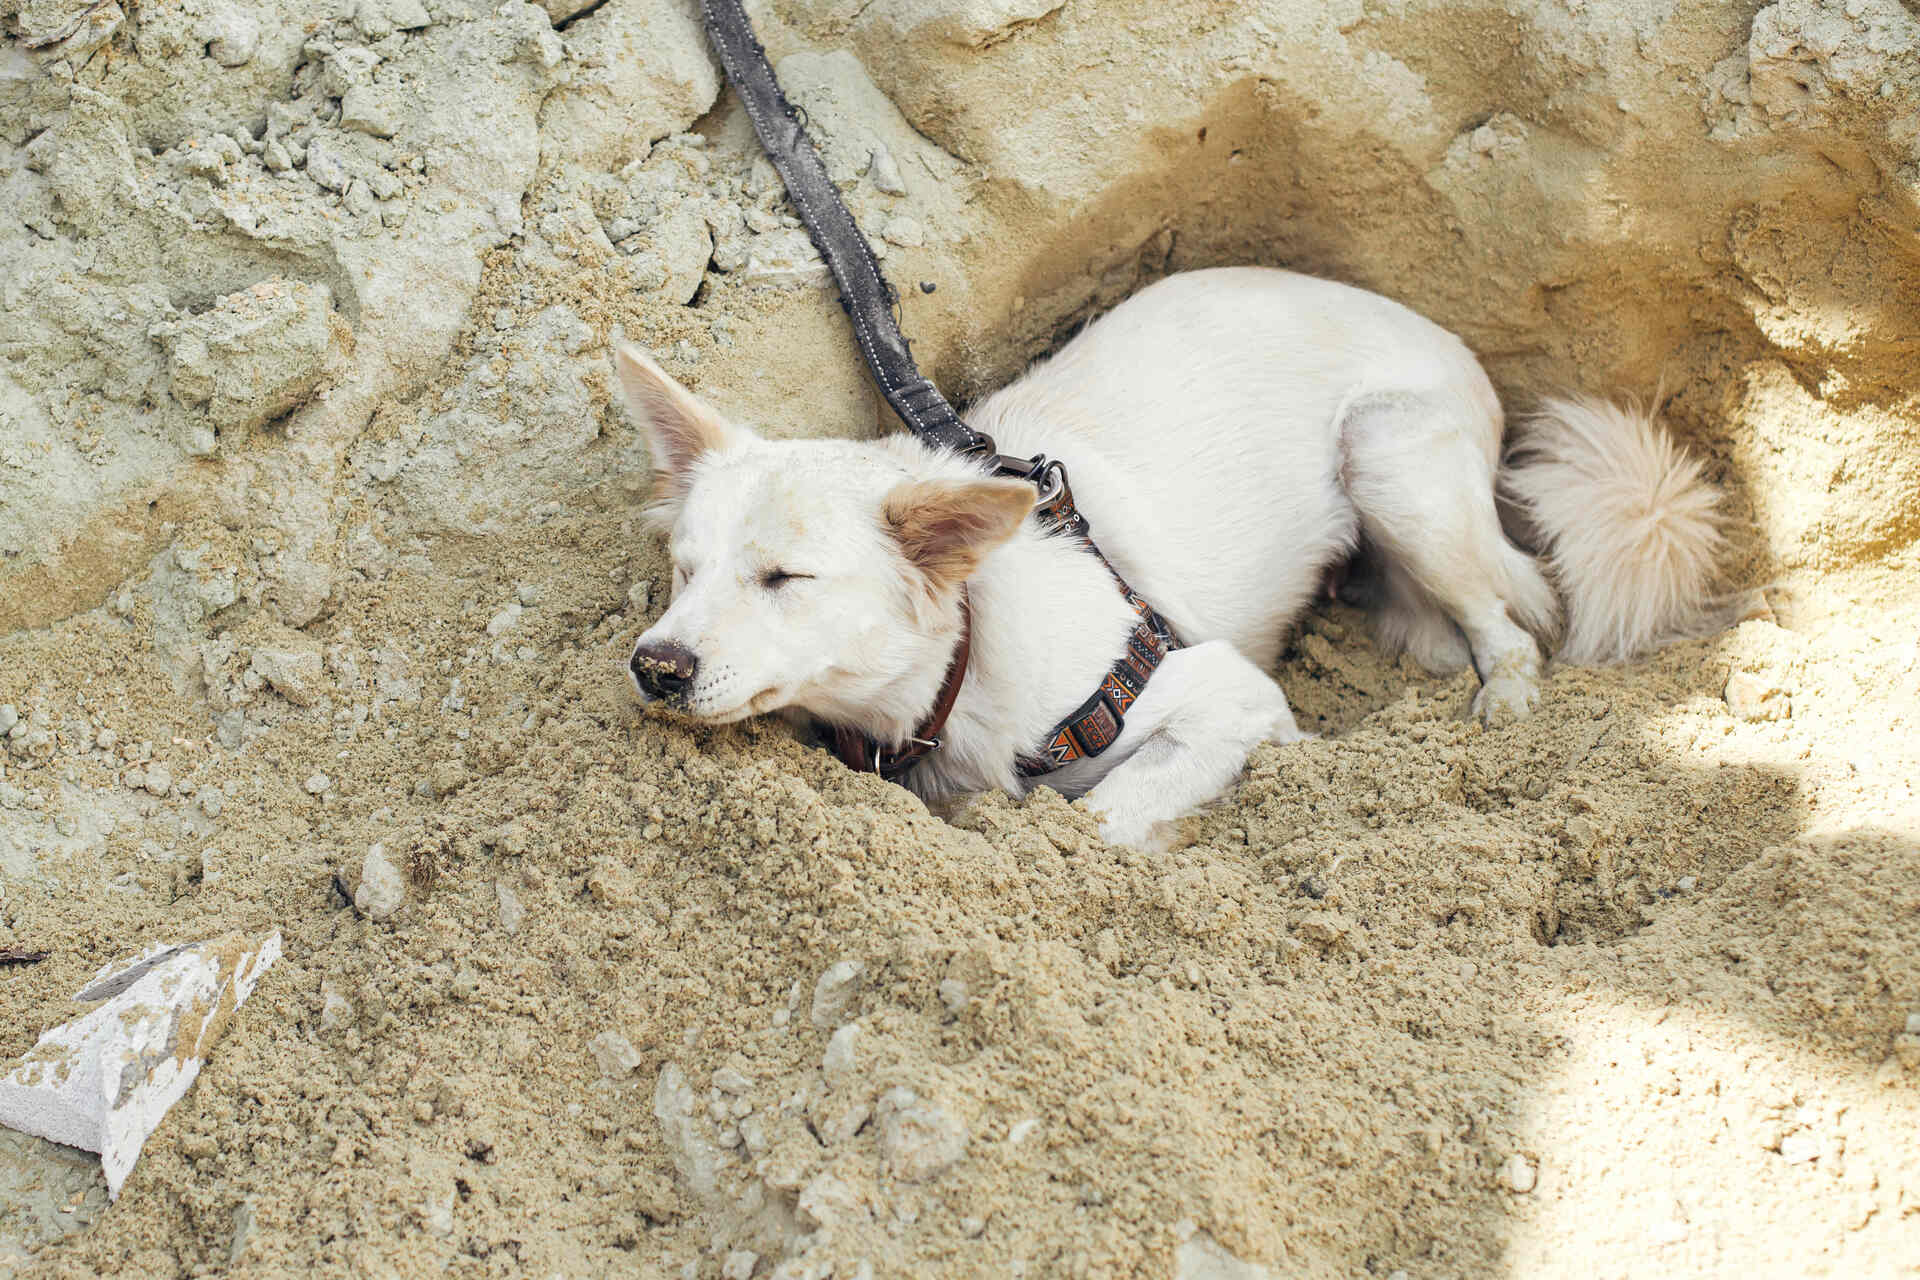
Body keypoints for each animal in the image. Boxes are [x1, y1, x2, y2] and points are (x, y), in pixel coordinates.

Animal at [618, 268, 1728, 852]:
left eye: (785, 579)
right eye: (685, 569)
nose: (655, 666)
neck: (963, 658)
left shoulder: (1224, 693)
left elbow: (1102, 817)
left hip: (1389, 462)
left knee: (1512, 625)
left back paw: (1506, 699)